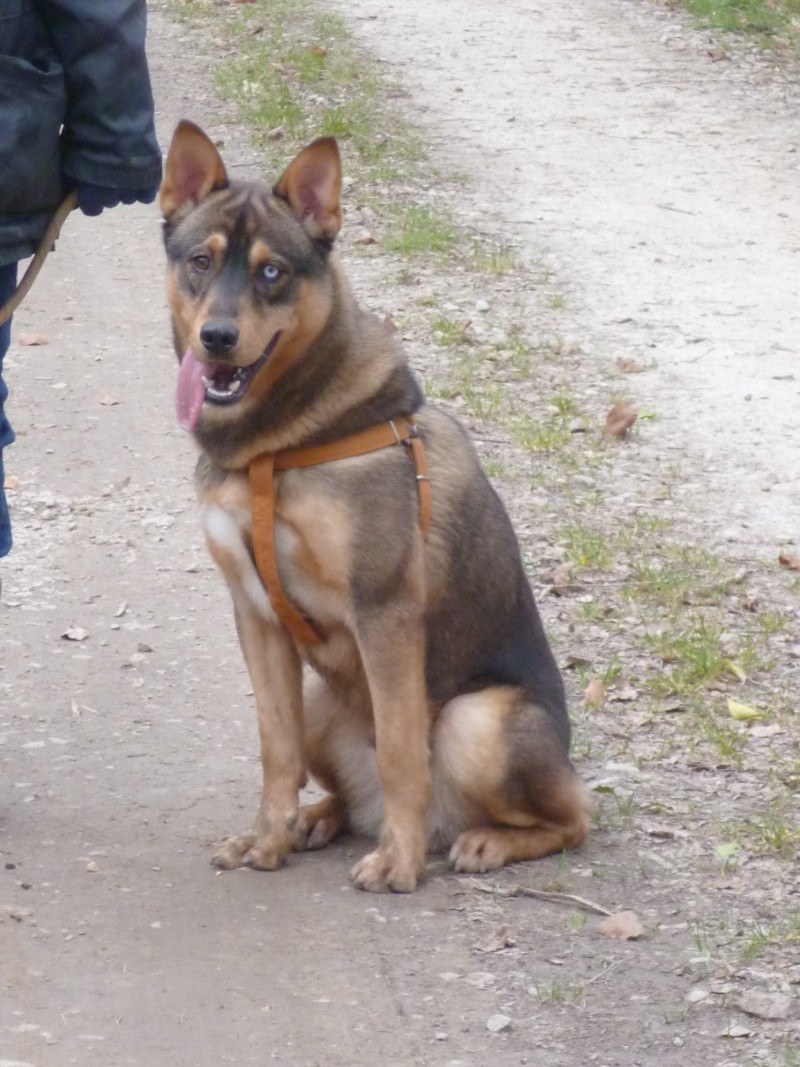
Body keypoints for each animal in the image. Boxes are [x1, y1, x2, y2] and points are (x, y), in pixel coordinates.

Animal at [160, 118, 593, 892]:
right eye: (200, 261)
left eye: (272, 272)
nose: (217, 338)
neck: (276, 448)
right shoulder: (256, 614)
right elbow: (274, 750)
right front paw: (267, 838)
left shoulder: (384, 608)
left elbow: (398, 750)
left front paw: (399, 859)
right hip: (323, 707)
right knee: (334, 784)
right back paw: (316, 819)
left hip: (477, 721)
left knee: (576, 815)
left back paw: (479, 840)